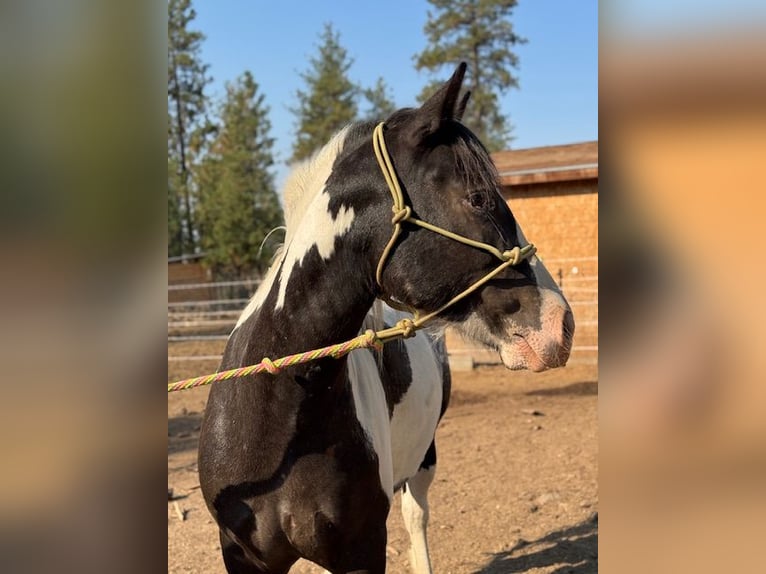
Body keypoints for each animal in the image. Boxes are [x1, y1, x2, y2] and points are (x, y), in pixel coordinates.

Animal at [198, 63, 574, 574]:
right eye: (477, 198)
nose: (562, 323)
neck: (280, 424)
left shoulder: (362, 550)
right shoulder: (243, 556)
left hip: (425, 455)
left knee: (416, 515)